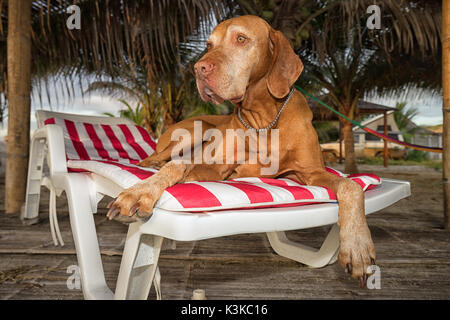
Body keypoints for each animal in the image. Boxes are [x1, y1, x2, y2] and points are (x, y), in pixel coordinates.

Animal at [108, 15, 376, 284]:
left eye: (241, 39)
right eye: (209, 45)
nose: (199, 69)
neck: (263, 120)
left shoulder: (311, 172)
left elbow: (351, 185)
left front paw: (357, 246)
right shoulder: (215, 169)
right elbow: (178, 165)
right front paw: (141, 191)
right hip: (197, 130)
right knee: (153, 158)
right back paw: (151, 165)